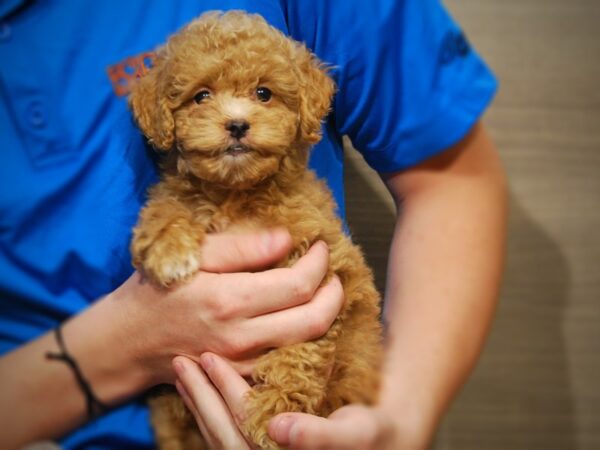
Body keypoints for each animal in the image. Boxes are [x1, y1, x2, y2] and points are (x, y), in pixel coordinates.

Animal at [129, 10, 382, 450]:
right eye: (201, 96)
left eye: (264, 93)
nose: (236, 124)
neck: (238, 192)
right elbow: (169, 202)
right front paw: (168, 247)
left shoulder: (313, 277)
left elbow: (298, 349)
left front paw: (275, 413)